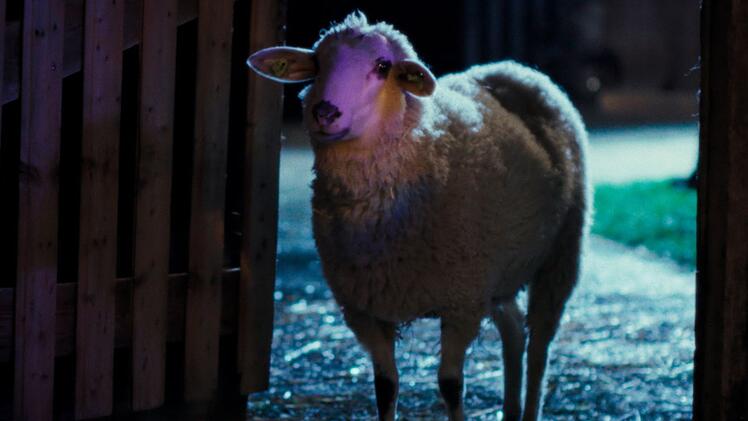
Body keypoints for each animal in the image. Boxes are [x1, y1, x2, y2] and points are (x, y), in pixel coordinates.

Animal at [247, 11, 589, 421]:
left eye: (383, 66)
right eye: (317, 63)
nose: (325, 113)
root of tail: (511, 67)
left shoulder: (462, 302)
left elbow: (451, 385)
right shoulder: (364, 311)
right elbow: (385, 388)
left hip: (561, 256)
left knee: (539, 345)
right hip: (499, 273)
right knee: (514, 331)